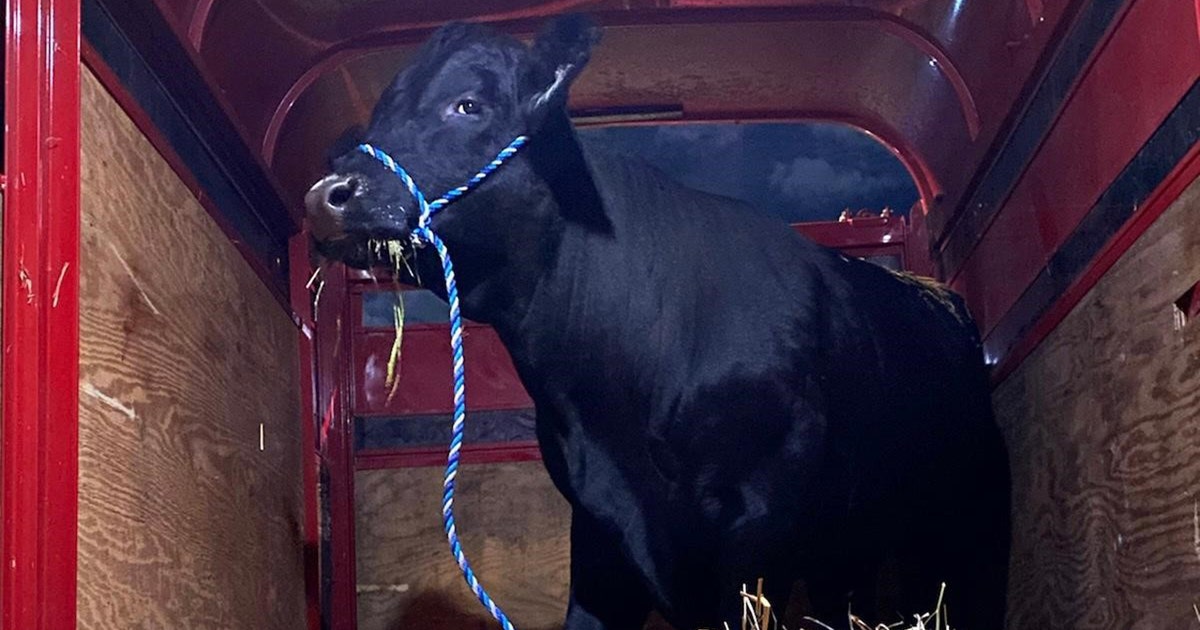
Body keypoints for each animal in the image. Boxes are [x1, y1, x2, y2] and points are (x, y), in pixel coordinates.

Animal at [305, 14, 1010, 630]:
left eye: (468, 105)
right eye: (378, 113)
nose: (325, 196)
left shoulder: (760, 526)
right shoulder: (597, 526)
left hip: (962, 514)